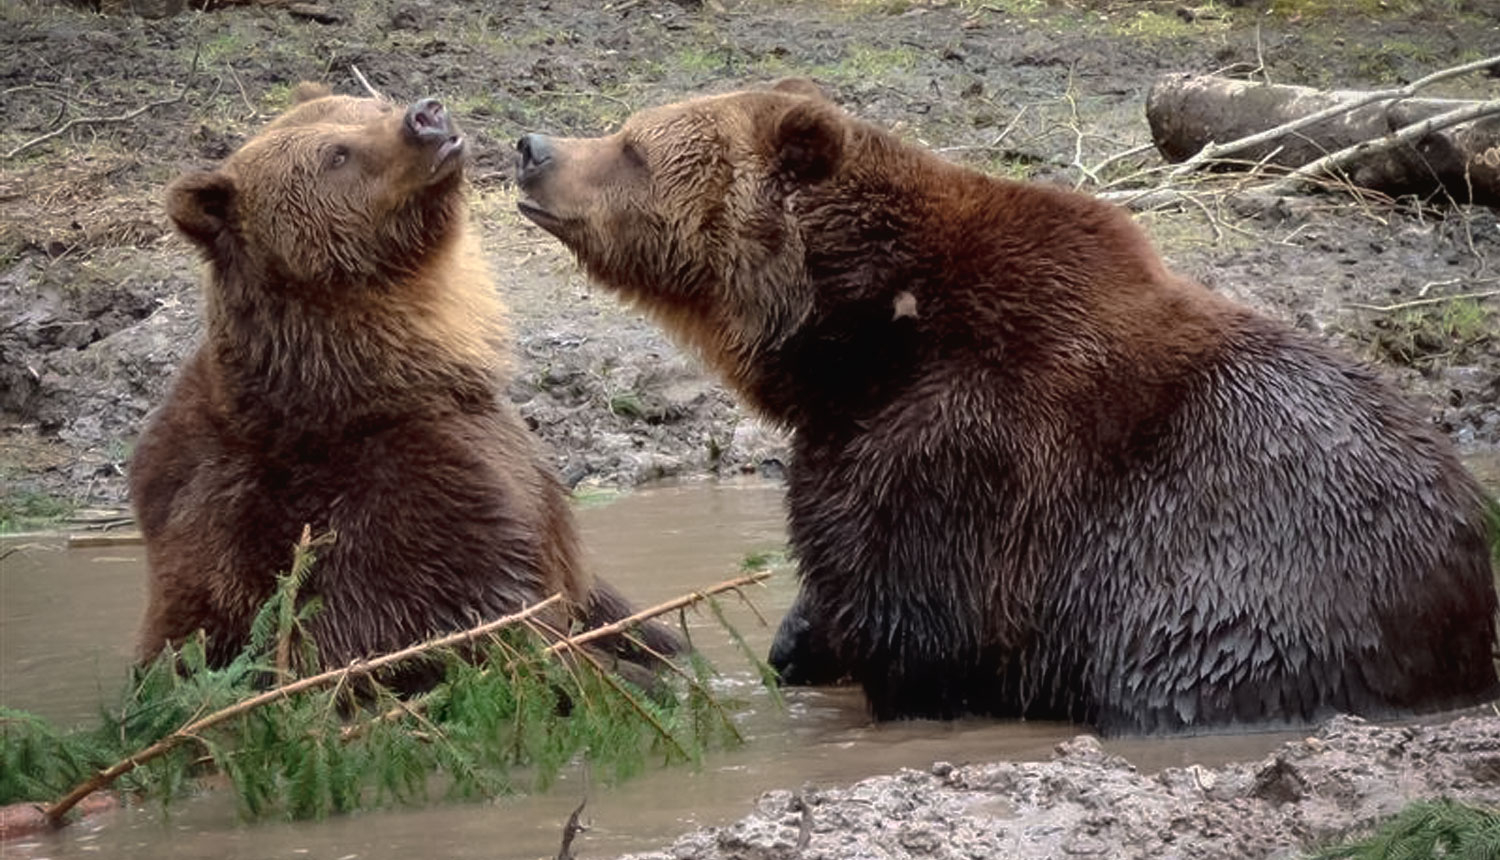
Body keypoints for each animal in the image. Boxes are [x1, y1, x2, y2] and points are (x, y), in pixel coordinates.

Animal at [138, 85, 678, 678]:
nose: (425, 115)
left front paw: (663, 641)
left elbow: (597, 600)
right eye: (337, 155)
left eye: (368, 105)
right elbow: (495, 621)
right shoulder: (398, 514)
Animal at [516, 80, 1500, 735]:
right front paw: (795, 642)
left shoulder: (961, 452)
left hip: (1242, 593)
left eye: (634, 145)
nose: (532, 148)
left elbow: (915, 624)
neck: (861, 336)